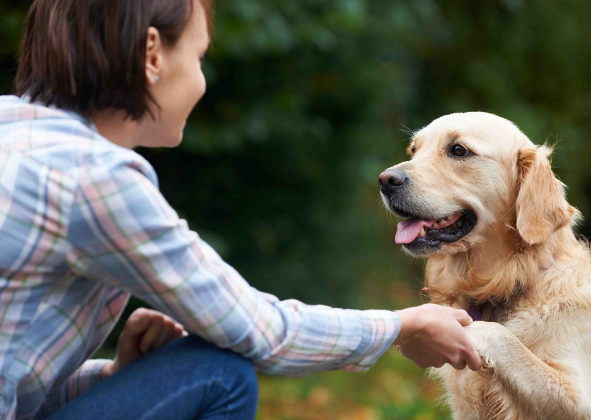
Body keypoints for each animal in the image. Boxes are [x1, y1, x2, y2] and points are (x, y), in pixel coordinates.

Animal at [380, 112, 591, 420]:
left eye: (458, 150)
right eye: (414, 150)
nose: (385, 180)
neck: (511, 281)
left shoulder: (579, 396)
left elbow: (501, 336)